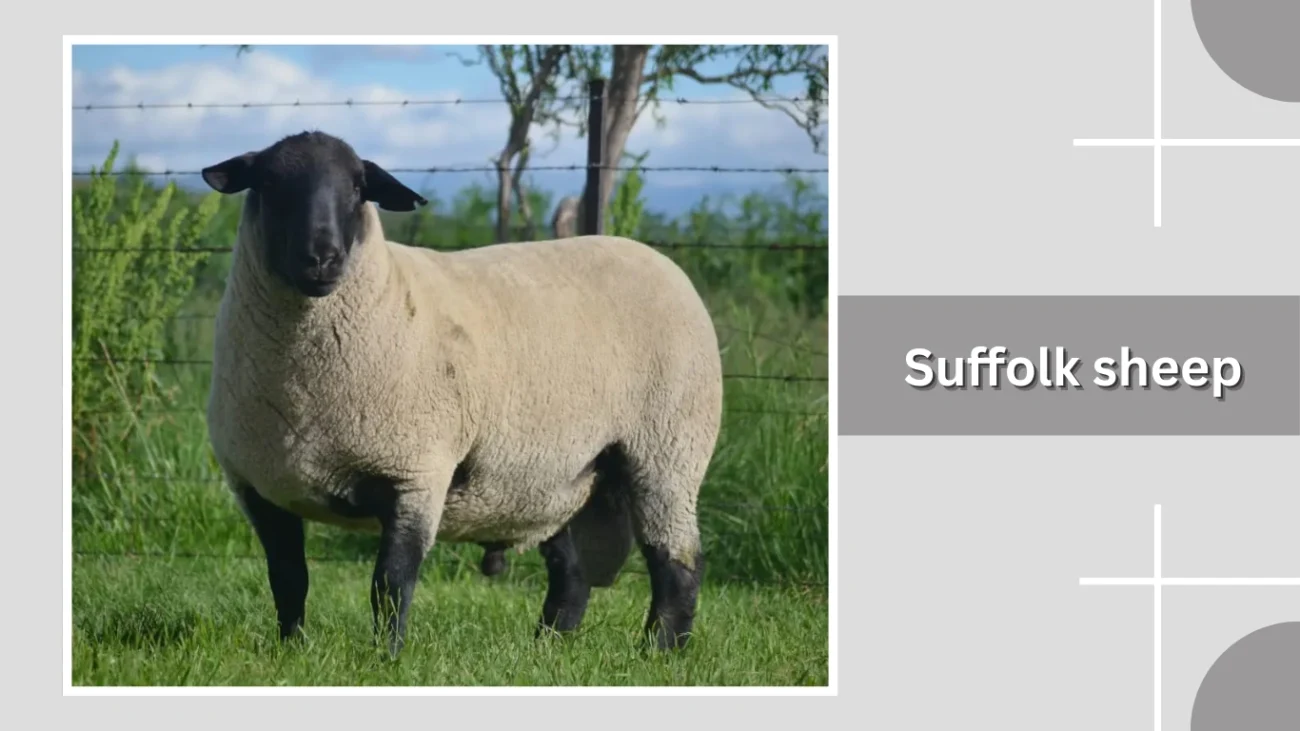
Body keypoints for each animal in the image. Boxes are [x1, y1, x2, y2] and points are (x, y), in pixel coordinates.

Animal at [199, 130, 723, 657]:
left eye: (358, 187)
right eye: (268, 184)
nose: (322, 257)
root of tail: (657, 259)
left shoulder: (415, 472)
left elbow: (390, 584)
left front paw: (386, 659)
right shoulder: (257, 486)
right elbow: (289, 580)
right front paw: (291, 650)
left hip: (668, 450)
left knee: (678, 562)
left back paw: (660, 652)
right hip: (558, 473)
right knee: (572, 572)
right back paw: (546, 648)